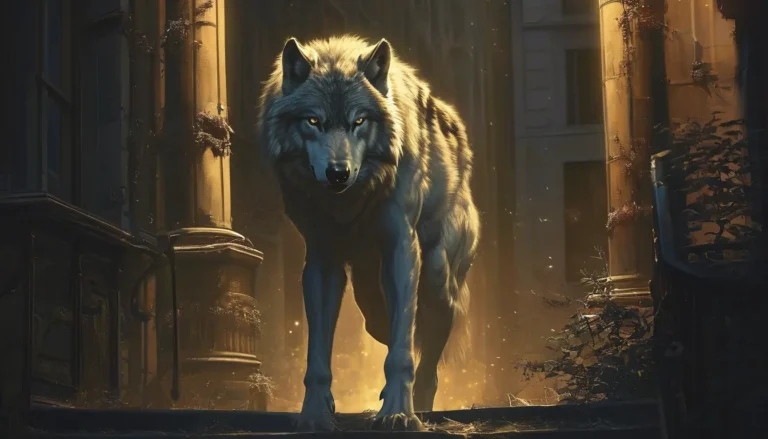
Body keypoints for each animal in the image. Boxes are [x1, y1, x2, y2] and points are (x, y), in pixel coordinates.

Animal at [258, 35, 480, 431]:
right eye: (313, 121)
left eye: (358, 121)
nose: (337, 173)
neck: (351, 202)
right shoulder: (322, 260)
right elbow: (318, 357)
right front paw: (315, 414)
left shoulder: (400, 247)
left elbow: (402, 353)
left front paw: (397, 412)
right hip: (368, 297)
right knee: (387, 326)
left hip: (437, 279)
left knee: (427, 352)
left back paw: (420, 406)